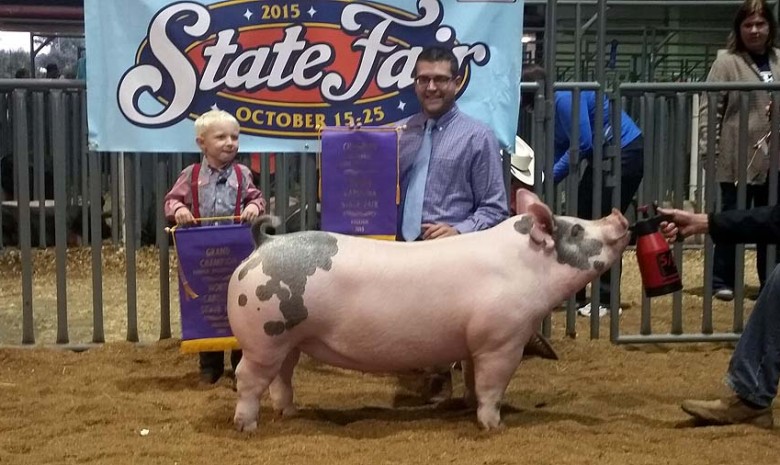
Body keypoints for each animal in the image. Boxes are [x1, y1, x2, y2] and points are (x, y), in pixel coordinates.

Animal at [225, 189, 628, 432]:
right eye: (575, 230)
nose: (618, 216)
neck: (526, 268)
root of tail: (264, 244)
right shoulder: (502, 339)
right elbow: (493, 385)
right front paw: (493, 426)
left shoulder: (474, 343)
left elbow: (473, 380)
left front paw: (467, 407)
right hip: (263, 336)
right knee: (248, 378)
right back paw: (247, 426)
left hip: (289, 339)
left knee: (282, 377)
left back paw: (289, 413)